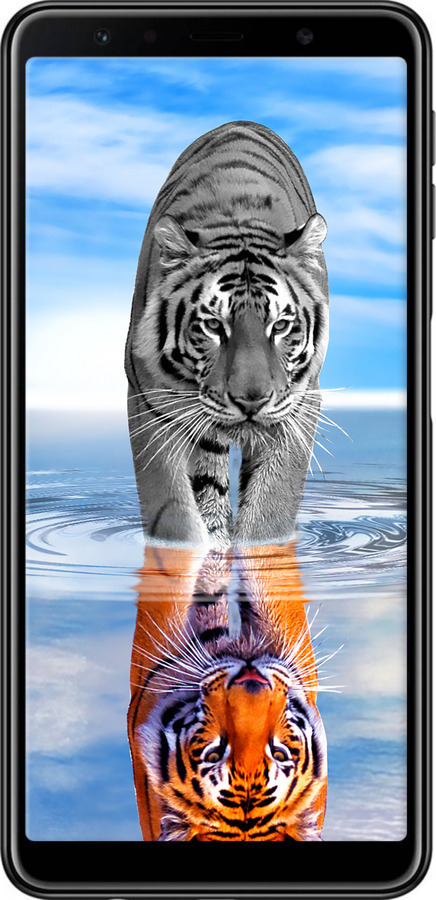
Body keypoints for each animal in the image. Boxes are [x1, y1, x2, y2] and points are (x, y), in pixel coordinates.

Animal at [125, 120, 329, 548]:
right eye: (213, 326)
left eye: (280, 326)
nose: (251, 401)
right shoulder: (149, 401)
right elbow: (173, 511)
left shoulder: (300, 404)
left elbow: (271, 509)